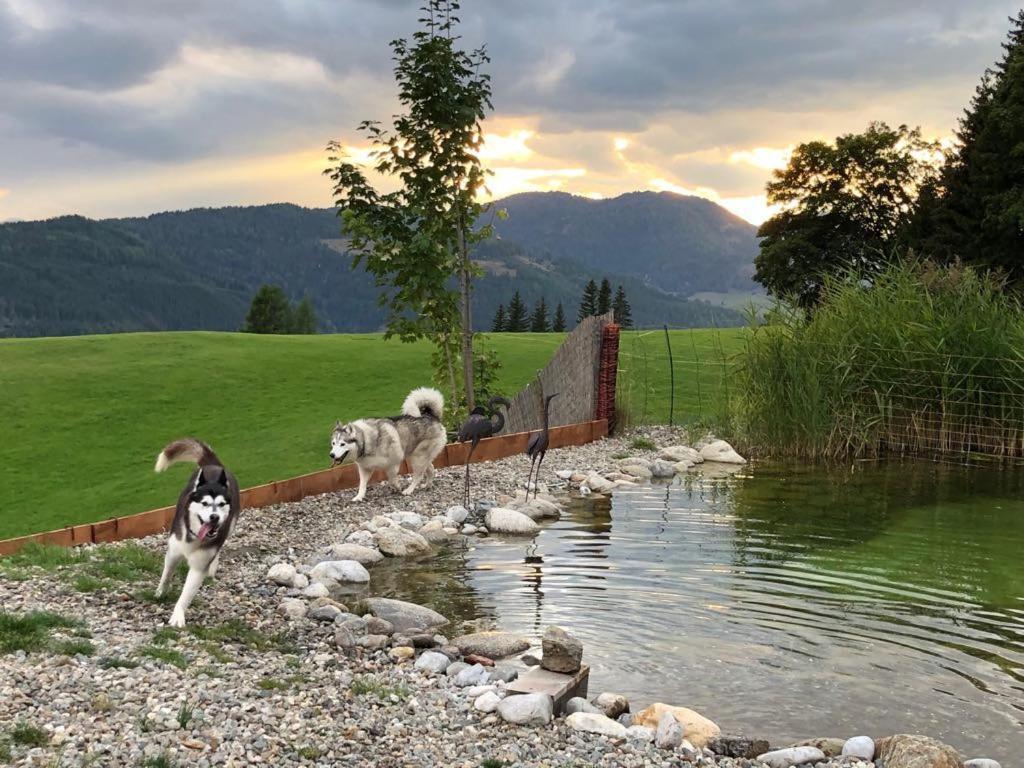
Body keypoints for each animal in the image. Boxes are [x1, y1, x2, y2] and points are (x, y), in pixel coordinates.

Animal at [152, 442, 240, 626]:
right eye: (204, 503)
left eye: (221, 504)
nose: (214, 517)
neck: (194, 537)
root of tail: (214, 465)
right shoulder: (174, 551)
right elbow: (167, 574)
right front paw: (160, 592)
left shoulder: (199, 565)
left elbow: (186, 594)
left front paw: (177, 615)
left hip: (230, 526)